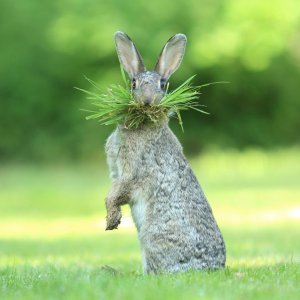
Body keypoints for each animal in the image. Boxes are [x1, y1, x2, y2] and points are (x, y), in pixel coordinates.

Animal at [104, 31, 224, 274]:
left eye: (163, 83)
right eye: (133, 83)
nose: (147, 101)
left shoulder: (131, 171)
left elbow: (118, 193)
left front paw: (111, 220)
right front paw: (113, 219)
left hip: (152, 236)